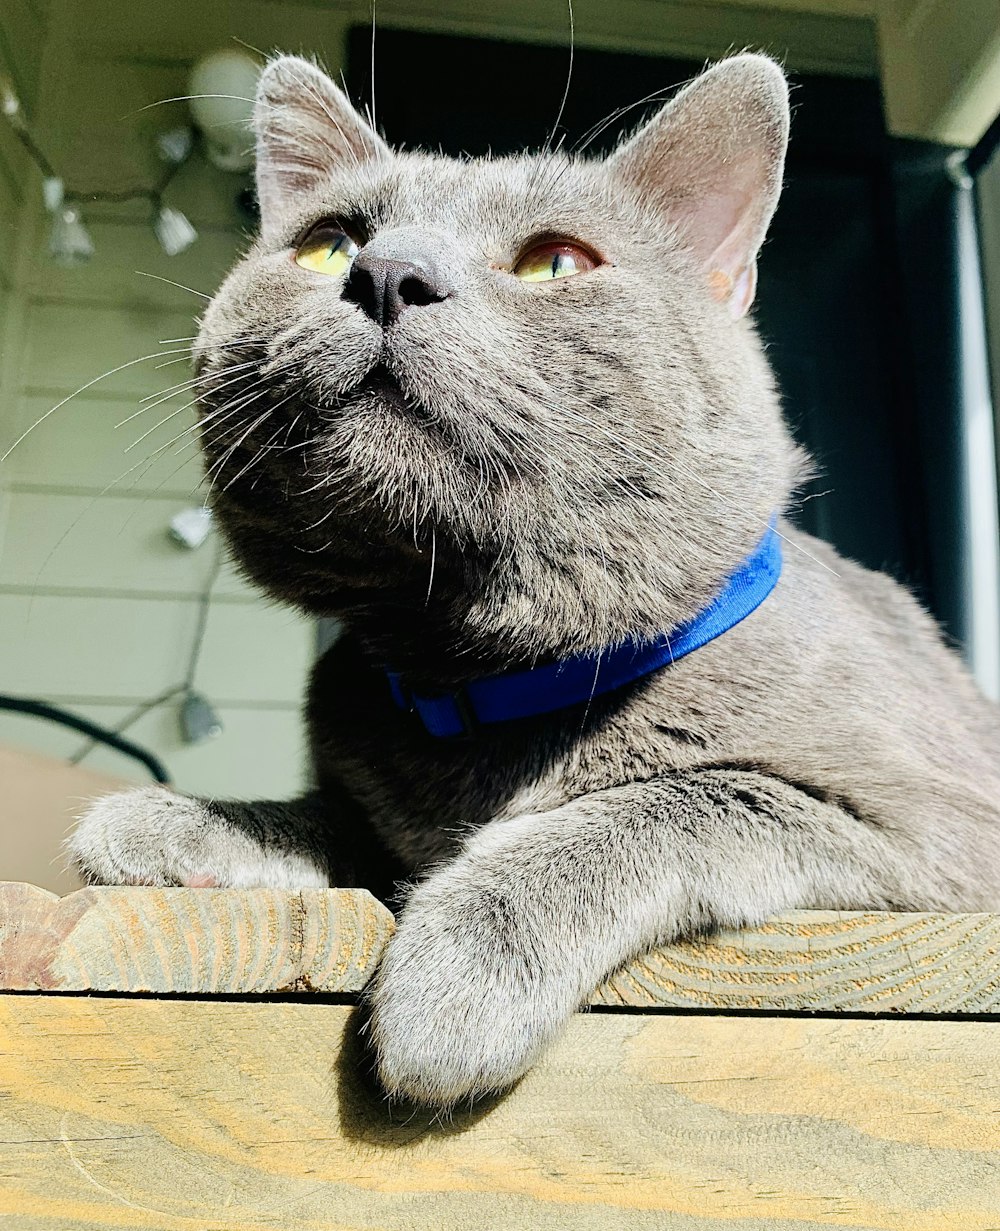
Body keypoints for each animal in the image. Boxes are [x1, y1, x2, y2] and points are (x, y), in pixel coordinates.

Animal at [72, 50, 1000, 1107]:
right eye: (326, 244)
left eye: (555, 263)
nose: (386, 273)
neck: (485, 679)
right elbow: (344, 821)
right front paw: (183, 822)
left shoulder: (943, 824)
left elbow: (689, 794)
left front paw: (458, 971)